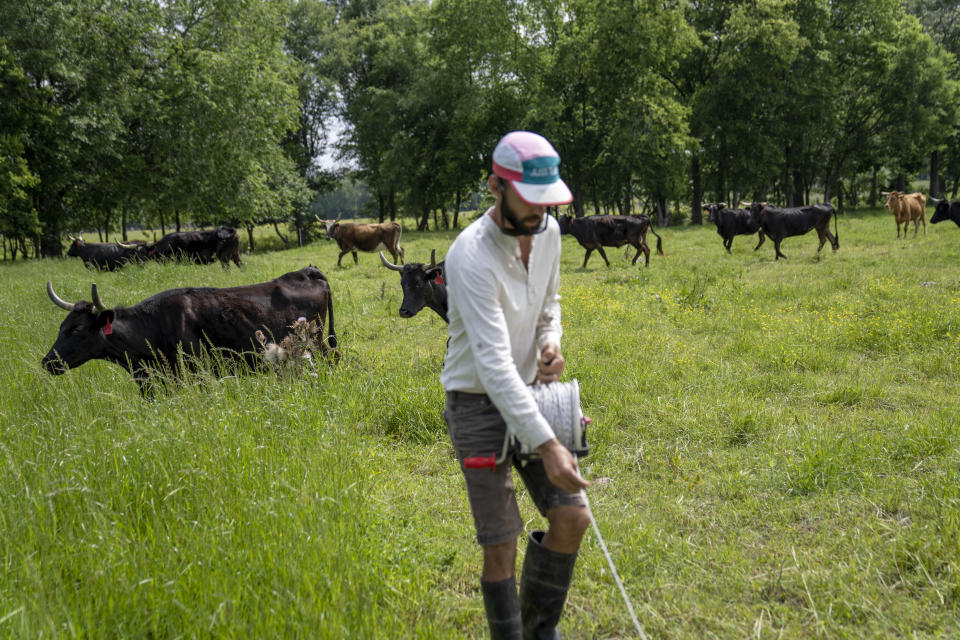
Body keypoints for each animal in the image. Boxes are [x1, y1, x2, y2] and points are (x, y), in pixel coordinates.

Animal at [44, 266, 338, 390]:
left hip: (316, 343)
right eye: (61, 327)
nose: (48, 362)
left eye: (77, 329)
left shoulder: (197, 372)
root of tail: (306, 271)